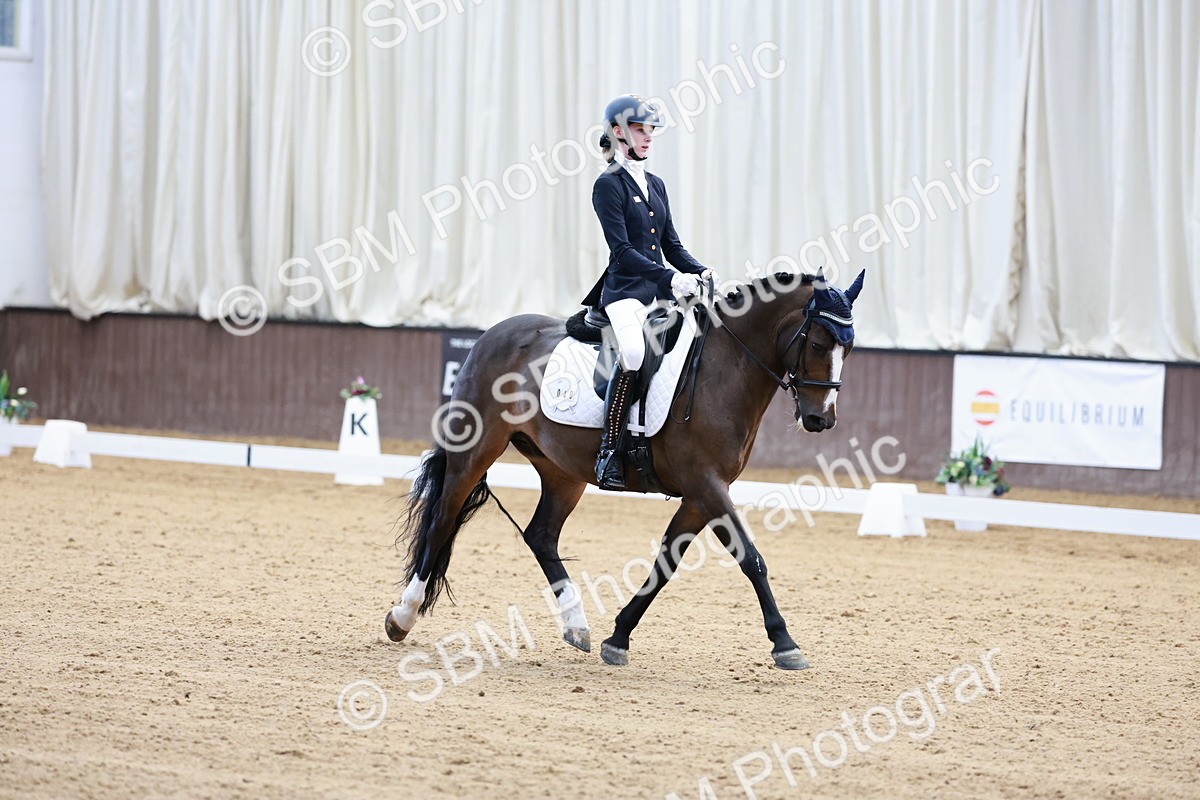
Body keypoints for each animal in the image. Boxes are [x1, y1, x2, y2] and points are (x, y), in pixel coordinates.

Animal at [385, 269, 865, 670]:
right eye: (818, 344)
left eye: (849, 347)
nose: (821, 419)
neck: (725, 367)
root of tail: (489, 337)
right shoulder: (706, 485)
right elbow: (751, 559)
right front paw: (785, 644)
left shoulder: (700, 494)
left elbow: (666, 564)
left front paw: (618, 637)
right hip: (477, 448)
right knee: (443, 518)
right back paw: (402, 617)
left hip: (562, 470)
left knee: (540, 535)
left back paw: (576, 625)